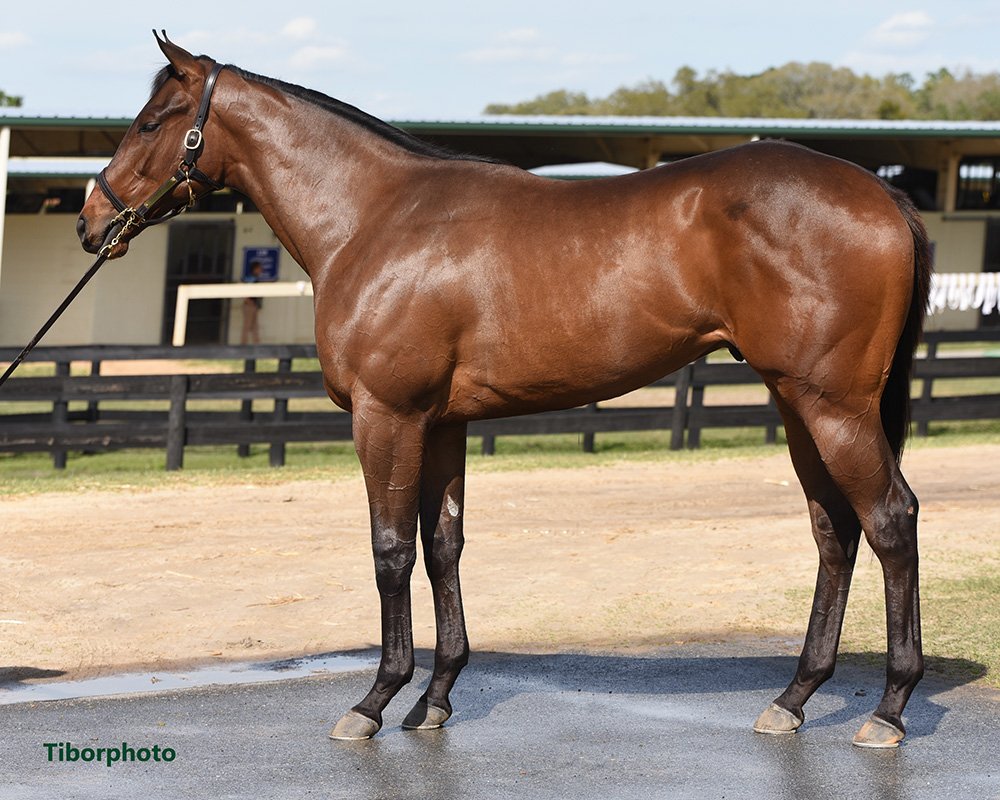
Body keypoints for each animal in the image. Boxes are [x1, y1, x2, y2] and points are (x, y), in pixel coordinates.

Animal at [76, 34, 928, 748]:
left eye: (151, 122)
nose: (89, 221)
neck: (374, 219)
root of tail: (886, 196)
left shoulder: (387, 418)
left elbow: (390, 550)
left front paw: (374, 702)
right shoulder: (442, 424)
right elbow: (442, 548)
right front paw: (434, 700)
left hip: (832, 405)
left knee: (889, 519)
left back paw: (888, 710)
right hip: (795, 402)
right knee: (834, 531)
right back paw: (794, 699)